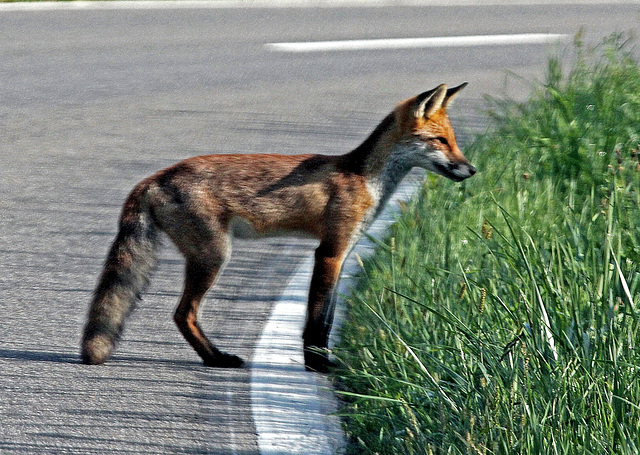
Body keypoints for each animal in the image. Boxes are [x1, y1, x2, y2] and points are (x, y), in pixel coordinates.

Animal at [81, 83, 476, 374]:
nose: (471, 170)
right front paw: (316, 364)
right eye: (441, 141)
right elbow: (317, 319)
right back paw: (218, 359)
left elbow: (328, 316)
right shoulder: (329, 252)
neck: (365, 179)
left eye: (454, 140)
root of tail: (154, 178)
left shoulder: (343, 253)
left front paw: (320, 360)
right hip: (214, 256)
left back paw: (213, 357)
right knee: (183, 314)